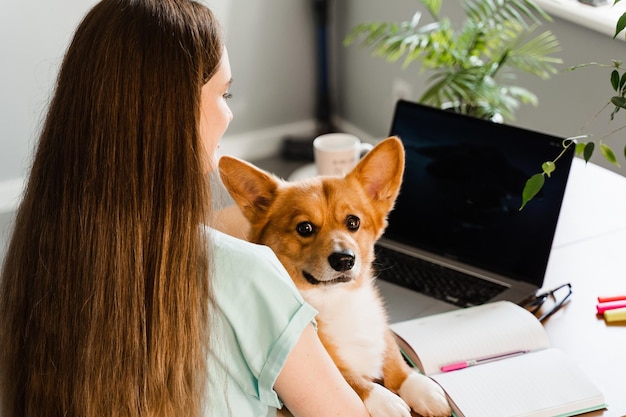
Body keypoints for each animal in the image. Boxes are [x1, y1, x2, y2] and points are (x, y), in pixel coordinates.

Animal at [218, 137, 448, 416]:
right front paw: (385, 400)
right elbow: (349, 378)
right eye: (304, 228)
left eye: (353, 222)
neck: (337, 299)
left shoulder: (382, 331)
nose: (344, 260)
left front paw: (420, 387)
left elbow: (394, 358)